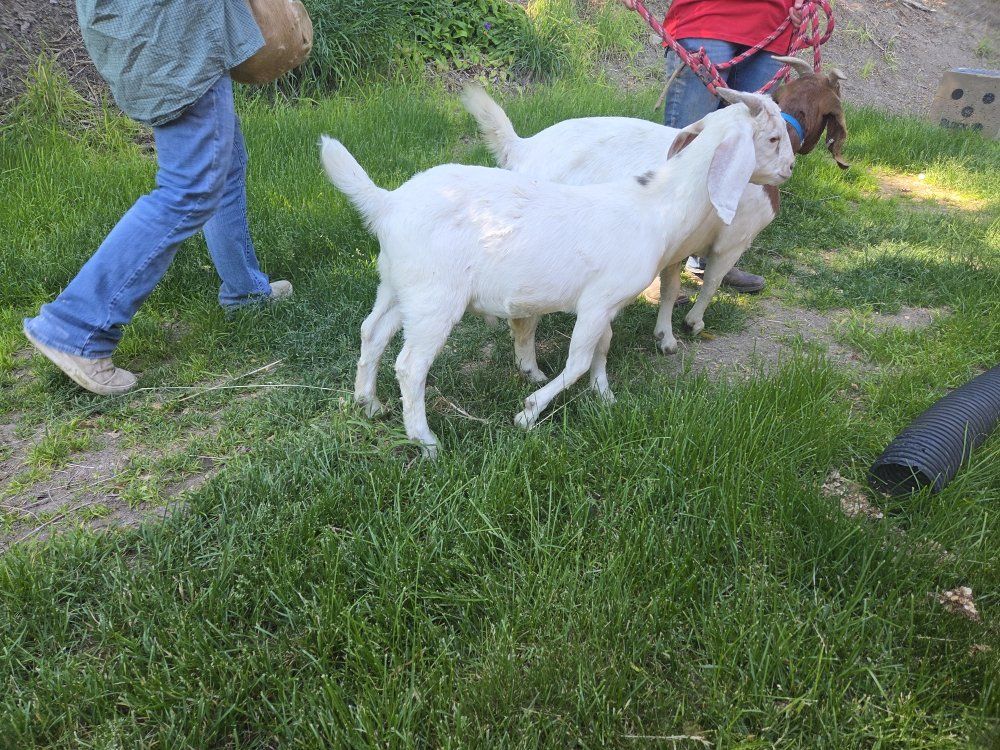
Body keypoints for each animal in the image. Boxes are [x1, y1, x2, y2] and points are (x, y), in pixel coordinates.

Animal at [321, 99, 792, 456]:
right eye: (772, 138)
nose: (789, 169)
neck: (655, 206)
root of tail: (387, 204)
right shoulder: (598, 301)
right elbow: (579, 360)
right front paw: (529, 412)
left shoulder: (607, 303)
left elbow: (602, 347)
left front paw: (605, 397)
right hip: (435, 297)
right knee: (410, 365)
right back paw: (426, 440)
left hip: (398, 285)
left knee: (372, 332)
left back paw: (369, 403)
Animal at [462, 57, 847, 355]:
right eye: (772, 137)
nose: (789, 168)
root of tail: (522, 147)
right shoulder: (732, 241)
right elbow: (711, 282)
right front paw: (693, 323)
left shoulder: (680, 245)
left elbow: (671, 288)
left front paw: (665, 336)